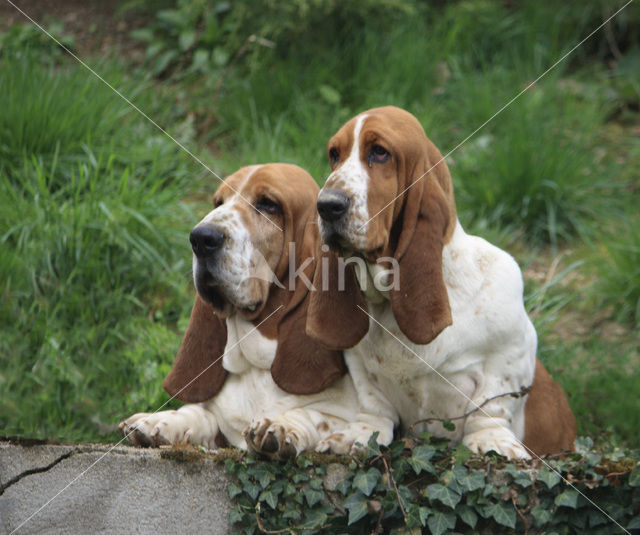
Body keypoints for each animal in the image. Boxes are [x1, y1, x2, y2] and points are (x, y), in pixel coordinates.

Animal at [119, 164, 364, 460]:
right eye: (218, 202)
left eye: (268, 204)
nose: (201, 238)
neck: (256, 366)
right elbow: (202, 415)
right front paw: (159, 421)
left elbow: (318, 417)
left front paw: (281, 426)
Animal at [304, 107, 576, 458]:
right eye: (334, 155)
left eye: (380, 152)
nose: (327, 205)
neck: (387, 300)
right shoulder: (359, 366)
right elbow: (372, 402)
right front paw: (359, 435)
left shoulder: (512, 347)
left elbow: (493, 402)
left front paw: (491, 441)